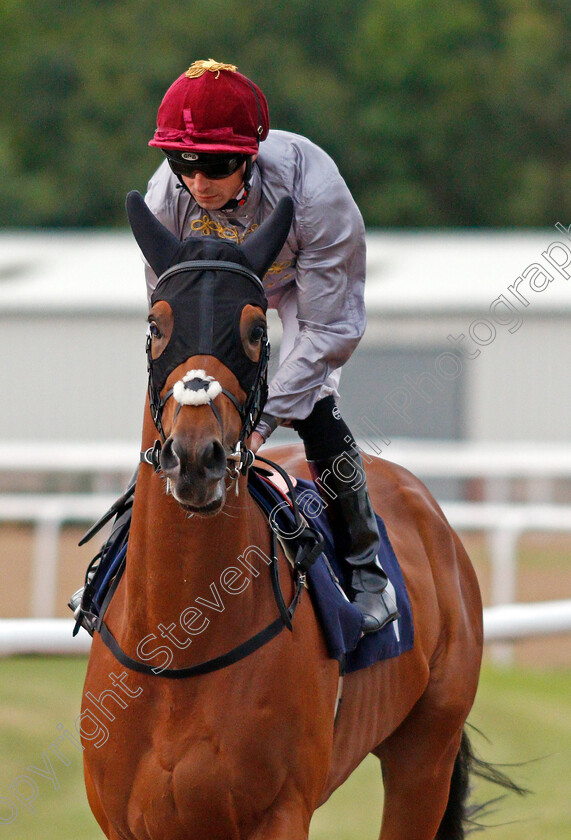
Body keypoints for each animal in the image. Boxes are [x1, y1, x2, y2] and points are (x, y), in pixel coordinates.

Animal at [80, 190, 492, 840]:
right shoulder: (124, 822)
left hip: (427, 748)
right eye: (155, 324)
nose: (195, 457)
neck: (179, 648)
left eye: (254, 329)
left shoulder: (279, 813)